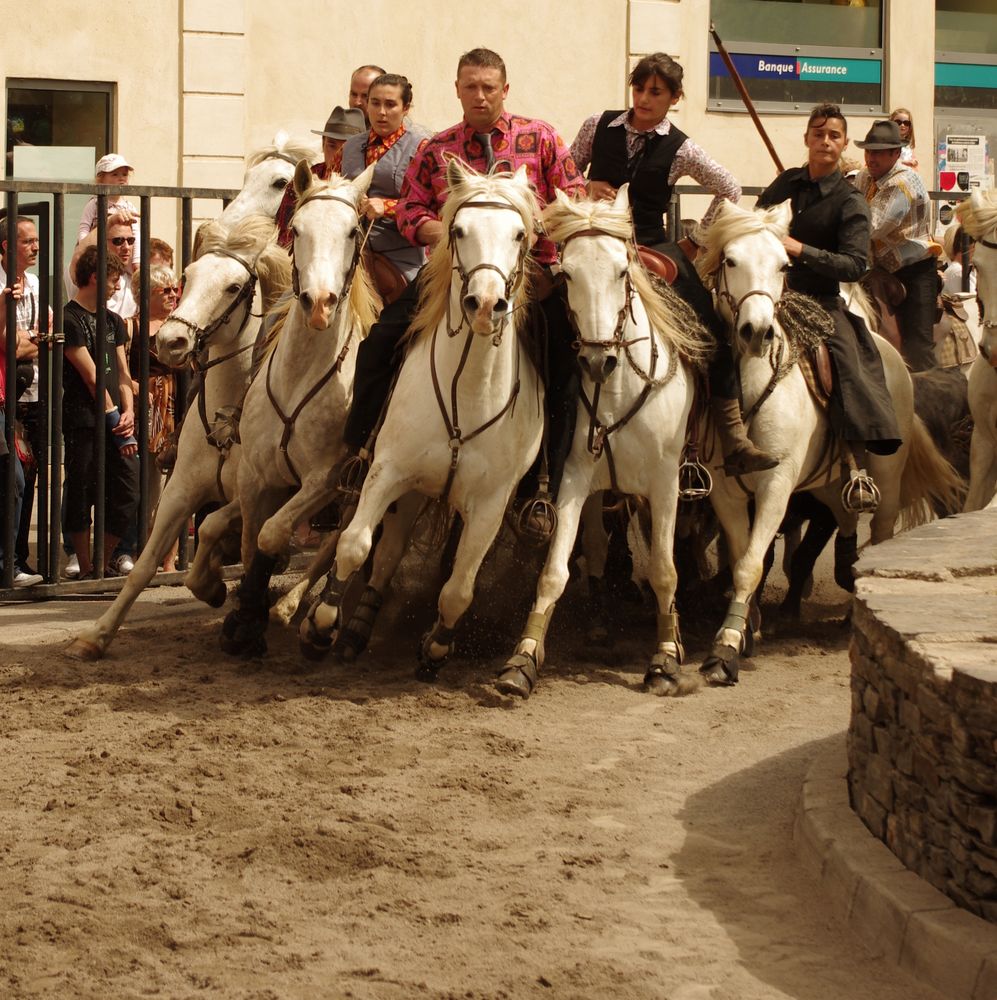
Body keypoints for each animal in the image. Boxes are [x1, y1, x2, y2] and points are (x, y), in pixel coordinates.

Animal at [64, 215, 290, 660]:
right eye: (188, 276)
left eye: (234, 286)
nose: (171, 341)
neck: (227, 418)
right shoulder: (180, 490)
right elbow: (146, 562)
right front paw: (97, 634)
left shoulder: (255, 494)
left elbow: (216, 529)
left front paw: (215, 585)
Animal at [302, 160, 544, 676]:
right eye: (459, 229)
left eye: (519, 234)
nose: (485, 304)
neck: (463, 397)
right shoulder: (389, 471)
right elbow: (355, 544)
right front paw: (320, 626)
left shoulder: (490, 505)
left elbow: (459, 589)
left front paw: (435, 648)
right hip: (410, 490)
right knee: (387, 553)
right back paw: (353, 629)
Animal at [494, 189, 712, 704]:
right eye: (567, 274)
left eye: (620, 270)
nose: (597, 360)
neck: (616, 390)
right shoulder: (574, 480)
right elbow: (554, 571)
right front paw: (523, 660)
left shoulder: (665, 484)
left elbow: (665, 569)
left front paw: (665, 659)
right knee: (596, 545)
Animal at [692, 201, 956, 688]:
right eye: (731, 260)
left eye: (783, 264)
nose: (757, 332)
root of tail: (895, 358)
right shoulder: (727, 493)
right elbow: (742, 557)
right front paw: (748, 628)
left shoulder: (776, 486)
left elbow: (752, 563)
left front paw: (725, 649)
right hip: (829, 482)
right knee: (844, 517)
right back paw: (843, 565)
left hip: (886, 477)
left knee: (880, 530)